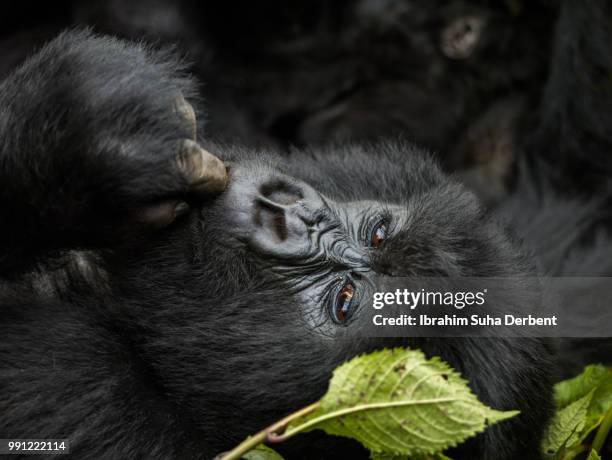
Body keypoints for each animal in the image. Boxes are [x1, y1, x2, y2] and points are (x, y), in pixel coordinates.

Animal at [0, 0, 608, 460]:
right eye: (379, 232)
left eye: (345, 301)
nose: (286, 214)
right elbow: (579, 186)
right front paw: (93, 129)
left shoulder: (106, 411)